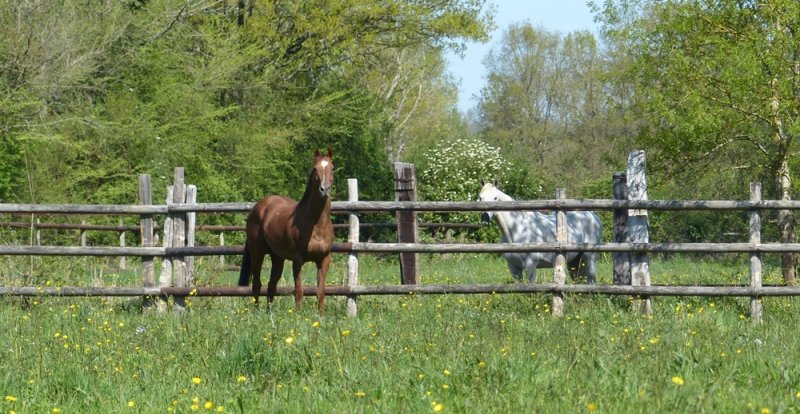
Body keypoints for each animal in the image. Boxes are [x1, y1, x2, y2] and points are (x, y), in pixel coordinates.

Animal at [238, 148, 334, 315]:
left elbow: (321, 291)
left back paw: (269, 314)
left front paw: (321, 317)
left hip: (277, 257)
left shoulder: (324, 259)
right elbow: (299, 291)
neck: (317, 225)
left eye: (332, 168)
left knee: (271, 285)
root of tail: (259, 206)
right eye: (315, 169)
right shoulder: (298, 260)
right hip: (258, 253)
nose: (324, 189)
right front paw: (298, 316)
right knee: (257, 284)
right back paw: (257, 313)